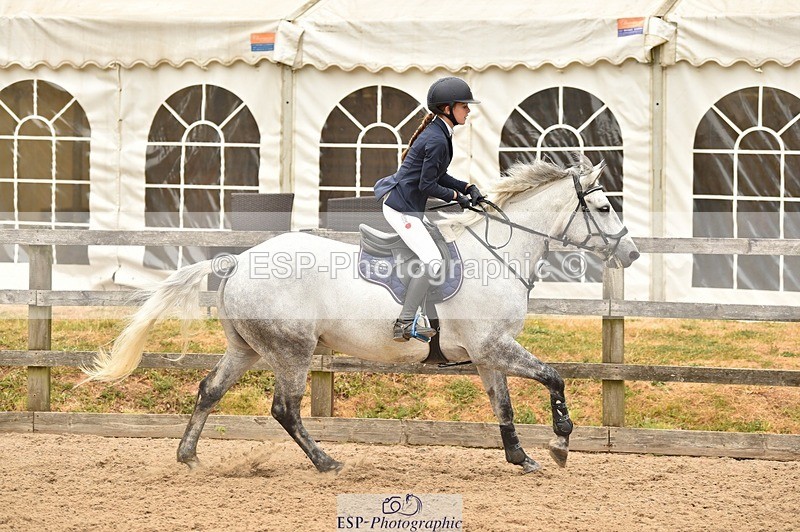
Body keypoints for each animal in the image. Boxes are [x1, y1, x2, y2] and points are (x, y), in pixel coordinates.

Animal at [82, 155, 639, 474]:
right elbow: (554, 377)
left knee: (209, 391)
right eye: (604, 208)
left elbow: (503, 407)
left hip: (247, 348)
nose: (631, 254)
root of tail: (238, 259)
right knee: (285, 409)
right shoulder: (494, 347)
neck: (500, 254)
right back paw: (327, 462)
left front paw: (521, 457)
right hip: (292, 349)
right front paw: (560, 443)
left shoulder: (487, 356)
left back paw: (189, 455)